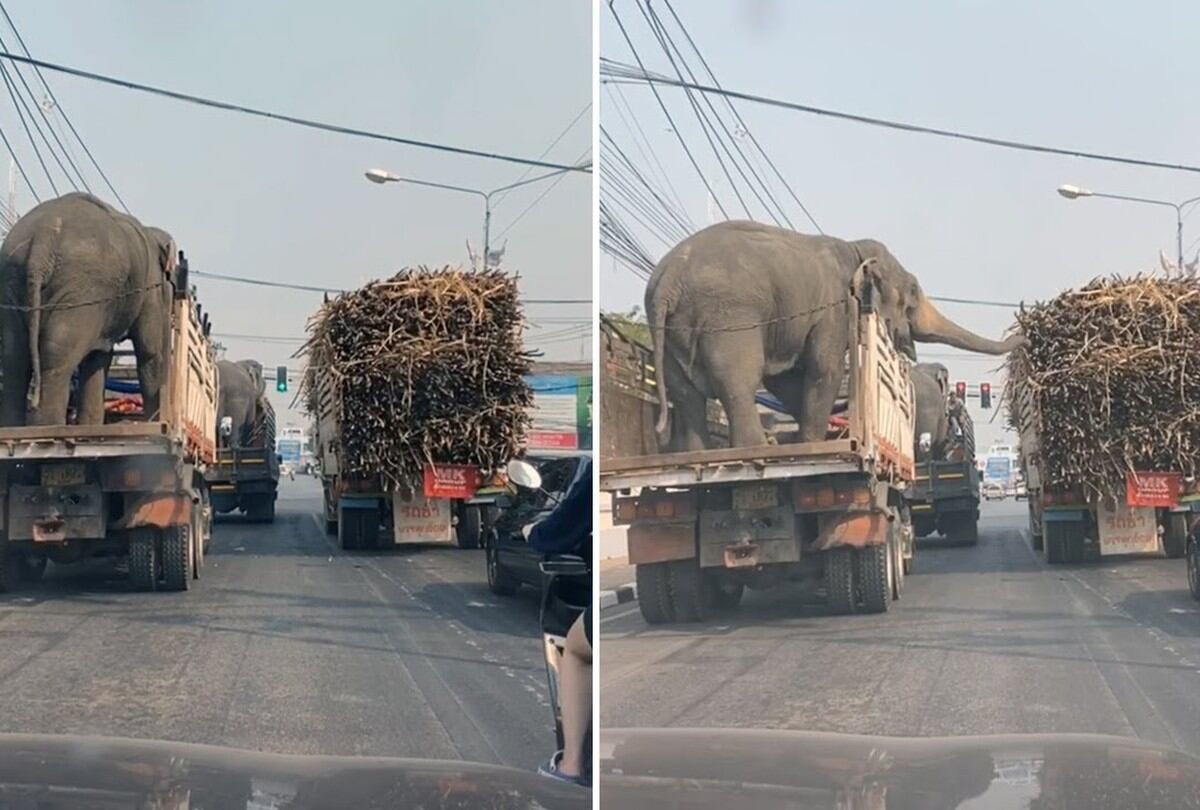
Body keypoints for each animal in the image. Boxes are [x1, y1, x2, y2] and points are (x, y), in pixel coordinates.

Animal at [0, 192, 177, 427]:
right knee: (56, 357)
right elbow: (151, 351)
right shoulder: (150, 286)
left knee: (14, 357)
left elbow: (99, 356)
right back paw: (50, 427)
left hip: (13, 282)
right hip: (81, 290)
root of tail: (43, 239)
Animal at [648, 220, 1022, 448]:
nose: (1022, 323)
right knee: (737, 383)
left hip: (671, 328)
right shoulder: (835, 307)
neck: (854, 249)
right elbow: (821, 369)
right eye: (913, 293)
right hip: (729, 318)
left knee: (686, 393)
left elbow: (786, 380)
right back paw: (756, 448)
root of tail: (667, 280)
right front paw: (813, 443)